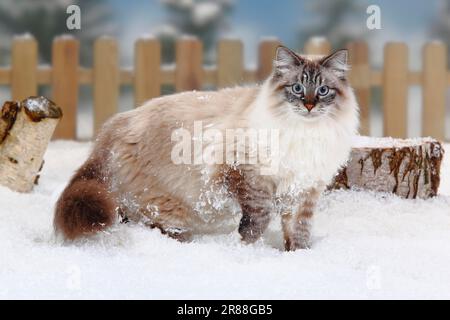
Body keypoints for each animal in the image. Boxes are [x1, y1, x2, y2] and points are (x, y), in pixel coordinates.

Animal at [54, 45, 358, 250]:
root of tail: (114, 126)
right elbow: (258, 218)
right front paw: (247, 248)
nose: (309, 105)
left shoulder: (304, 190)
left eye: (323, 91)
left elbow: (299, 231)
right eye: (296, 89)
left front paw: (298, 255)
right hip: (170, 207)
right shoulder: (245, 174)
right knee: (151, 224)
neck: (305, 135)